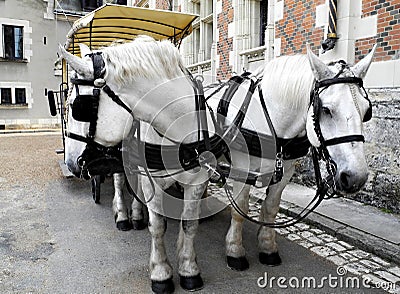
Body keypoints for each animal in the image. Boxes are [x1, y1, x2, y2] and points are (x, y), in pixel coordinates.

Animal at [59, 35, 376, 292]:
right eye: (326, 109)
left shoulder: (280, 172)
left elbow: (264, 209)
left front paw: (264, 246)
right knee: (120, 180)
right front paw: (171, 270)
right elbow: (168, 223)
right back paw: (127, 216)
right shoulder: (236, 172)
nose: (356, 177)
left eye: (367, 111)